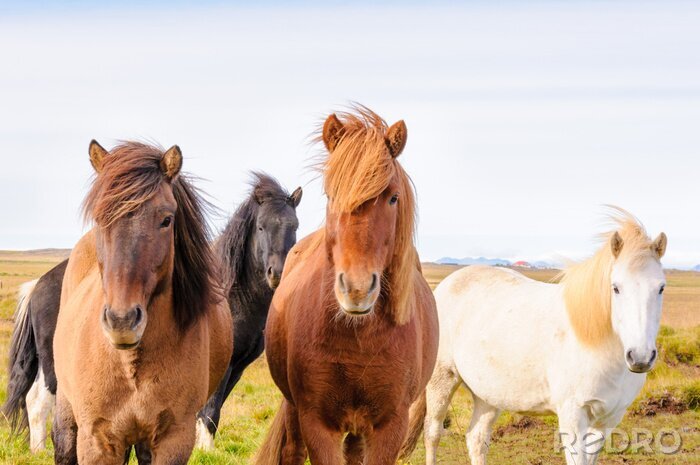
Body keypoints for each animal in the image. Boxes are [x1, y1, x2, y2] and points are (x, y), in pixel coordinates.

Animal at [2, 173, 301, 458]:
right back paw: (40, 449)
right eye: (261, 226)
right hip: (55, 365)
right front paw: (205, 450)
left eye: (294, 227)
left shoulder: (235, 368)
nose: (277, 272)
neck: (232, 292)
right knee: (43, 400)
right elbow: (210, 410)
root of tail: (39, 284)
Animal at [51, 141, 233, 465]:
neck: (131, 366)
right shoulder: (97, 441)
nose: (122, 321)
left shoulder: (174, 439)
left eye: (166, 220)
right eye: (100, 219)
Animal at [254, 106, 439, 465]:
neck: (358, 337)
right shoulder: (316, 421)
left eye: (393, 198)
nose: (356, 289)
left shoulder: (390, 426)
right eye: (330, 194)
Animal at [400, 208, 667, 465]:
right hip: (442, 381)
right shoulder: (572, 416)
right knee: (433, 434)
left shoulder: (608, 421)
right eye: (616, 288)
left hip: (488, 395)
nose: (640, 357)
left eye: (661, 287)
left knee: (476, 438)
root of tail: (447, 284)